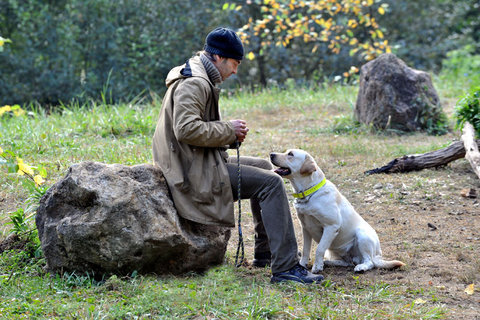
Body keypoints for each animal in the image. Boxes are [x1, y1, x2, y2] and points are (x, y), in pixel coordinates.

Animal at [270, 149, 404, 272]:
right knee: (347, 263)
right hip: (334, 251)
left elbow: (319, 249)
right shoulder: (306, 228)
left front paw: (317, 267)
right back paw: (329, 262)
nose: (271, 154)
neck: (309, 193)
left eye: (290, 154)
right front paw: (303, 265)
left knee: (369, 262)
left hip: (362, 235)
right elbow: (305, 250)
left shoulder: (331, 226)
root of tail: (378, 255)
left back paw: (361, 267)